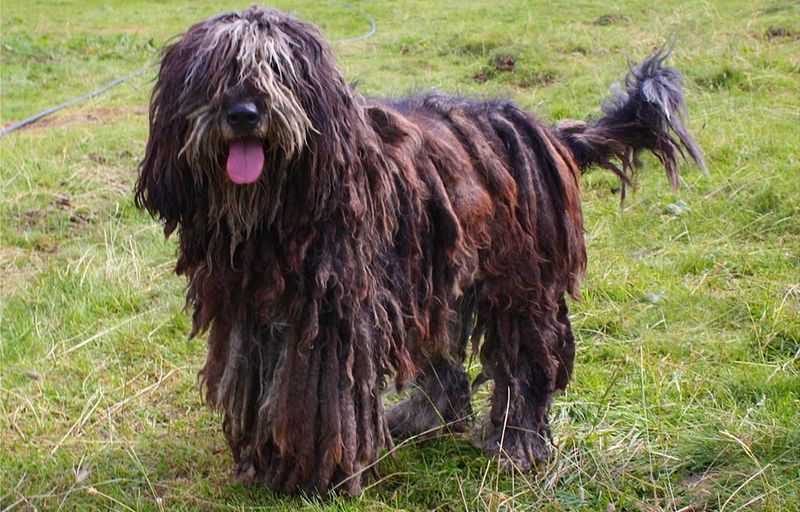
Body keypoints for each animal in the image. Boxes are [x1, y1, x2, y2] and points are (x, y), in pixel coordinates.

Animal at [134, 5, 704, 496]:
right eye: (213, 71)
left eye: (278, 68)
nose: (244, 113)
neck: (276, 212)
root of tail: (550, 132)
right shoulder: (251, 313)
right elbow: (260, 388)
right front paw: (263, 462)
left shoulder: (333, 319)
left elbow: (317, 400)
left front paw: (313, 476)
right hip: (433, 277)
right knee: (444, 362)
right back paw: (421, 416)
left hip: (519, 279)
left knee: (528, 360)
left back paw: (517, 442)